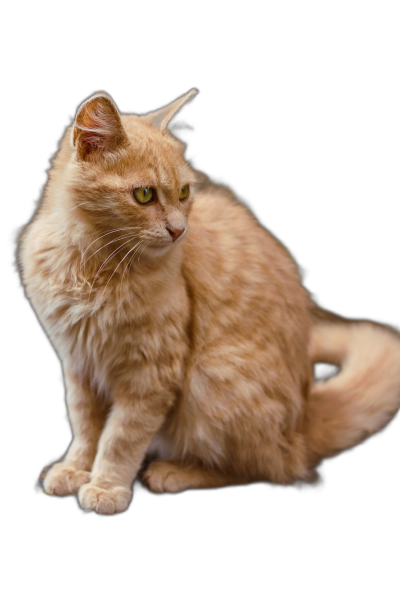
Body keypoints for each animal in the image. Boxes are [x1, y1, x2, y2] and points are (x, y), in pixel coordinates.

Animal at [17, 89, 400, 516]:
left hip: (211, 377)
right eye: (144, 195)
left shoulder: (151, 374)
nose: (178, 230)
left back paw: (174, 472)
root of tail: (303, 423)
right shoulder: (78, 364)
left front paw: (106, 486)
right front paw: (74, 469)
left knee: (270, 468)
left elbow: (120, 438)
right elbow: (85, 428)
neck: (90, 266)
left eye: (184, 193)